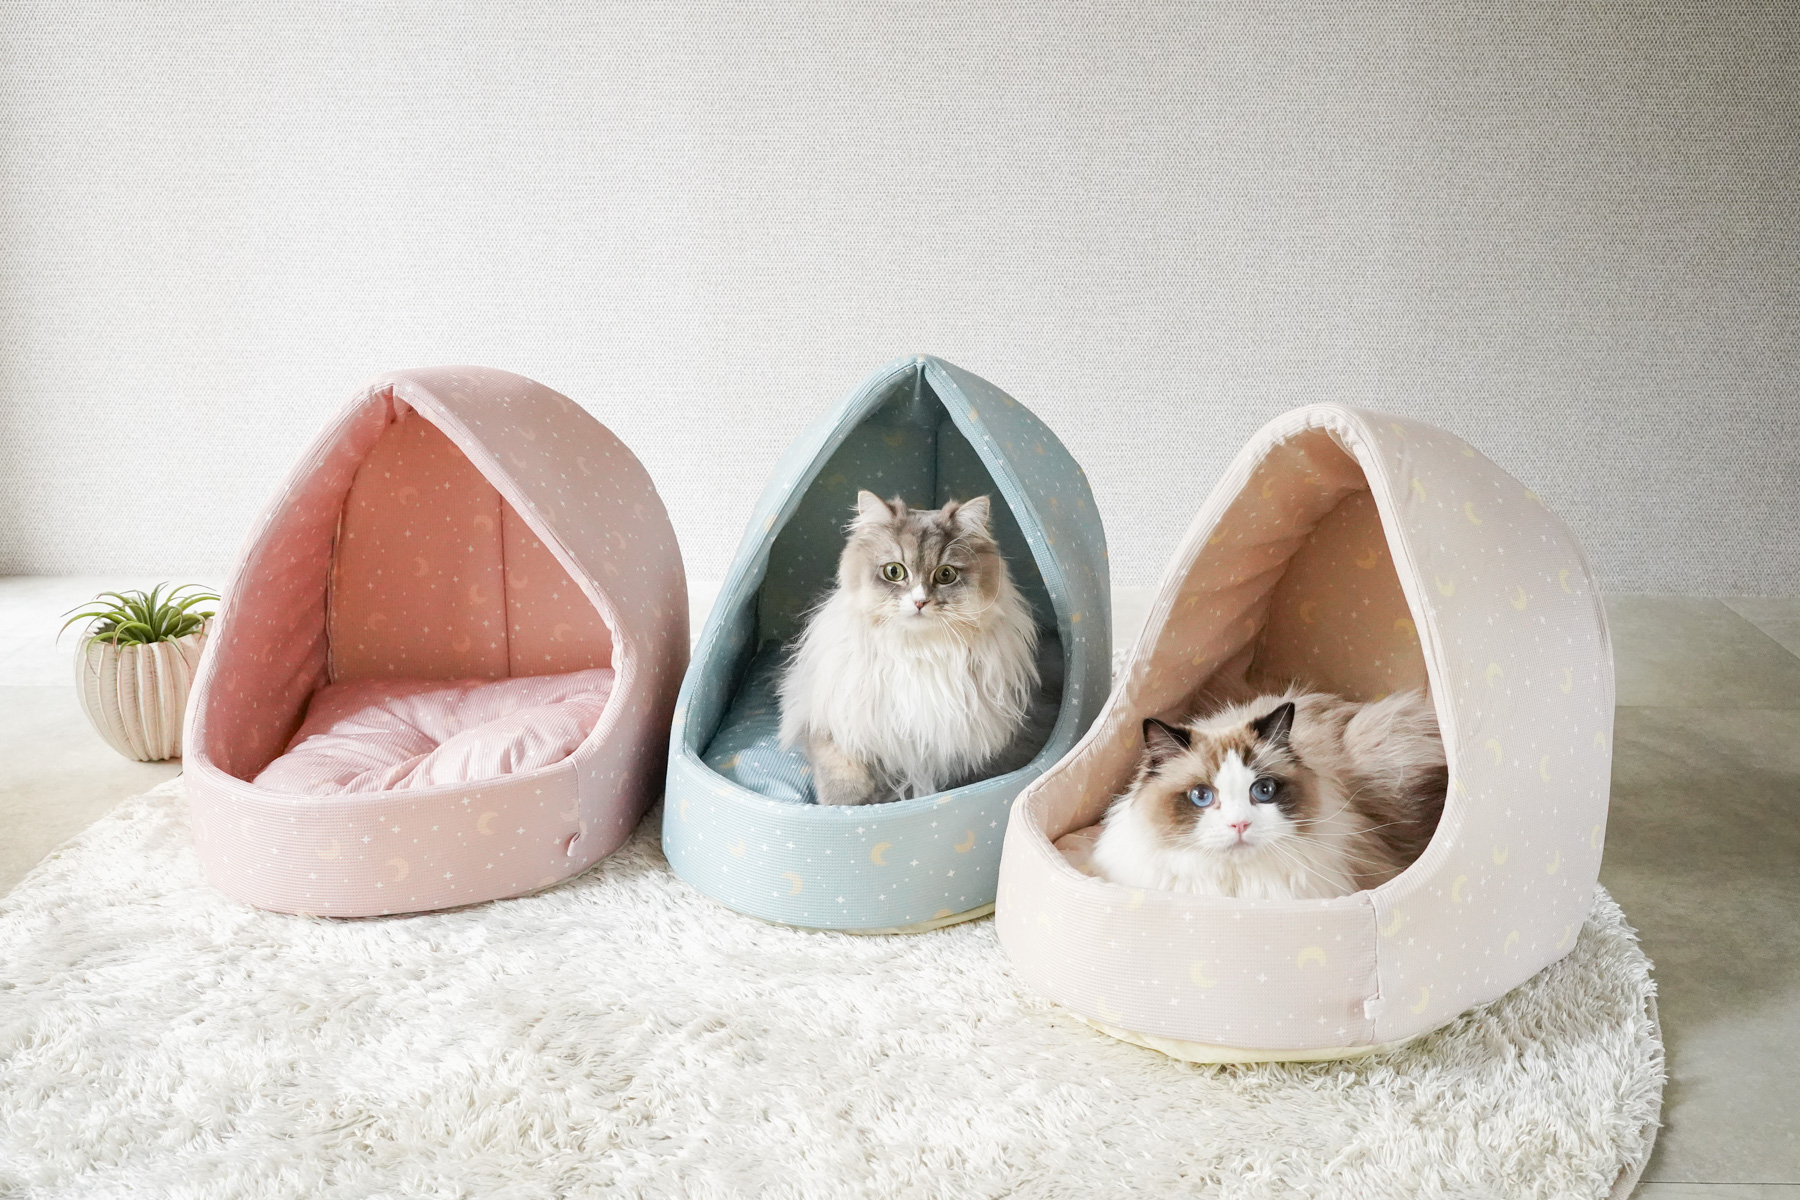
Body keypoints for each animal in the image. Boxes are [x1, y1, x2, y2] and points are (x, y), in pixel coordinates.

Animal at [778, 490, 1042, 806]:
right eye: (894, 571)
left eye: (945, 575)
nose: (919, 602)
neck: (917, 652)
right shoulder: (829, 717)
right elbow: (840, 772)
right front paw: (845, 806)